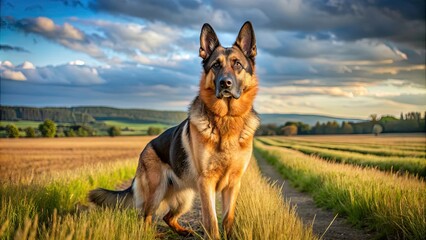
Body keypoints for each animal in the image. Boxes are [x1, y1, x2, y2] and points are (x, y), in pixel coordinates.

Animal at [88, 21, 258, 239]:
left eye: (237, 64)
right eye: (216, 65)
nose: (225, 83)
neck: (226, 119)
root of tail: (147, 147)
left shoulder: (233, 184)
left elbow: (228, 218)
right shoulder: (207, 183)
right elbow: (211, 221)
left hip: (186, 196)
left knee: (168, 217)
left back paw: (184, 231)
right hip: (157, 191)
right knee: (146, 218)